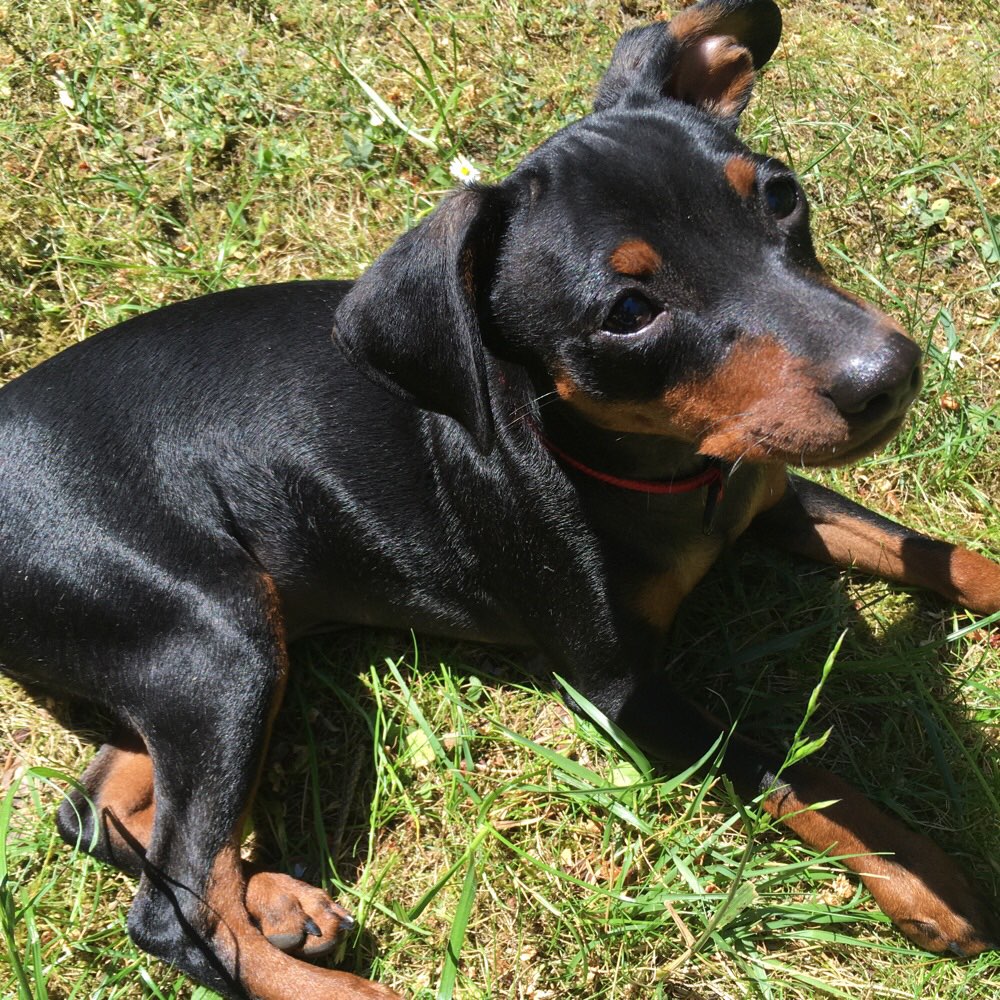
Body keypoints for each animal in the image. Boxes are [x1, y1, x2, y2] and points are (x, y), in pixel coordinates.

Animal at [1, 1, 1000, 1000]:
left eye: (781, 196)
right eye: (627, 313)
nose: (890, 375)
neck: (664, 470)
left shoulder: (773, 490)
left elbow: (933, 551)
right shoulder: (618, 689)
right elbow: (788, 769)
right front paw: (923, 875)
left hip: (193, 646)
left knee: (98, 810)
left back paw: (278, 901)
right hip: (216, 632)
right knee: (173, 908)